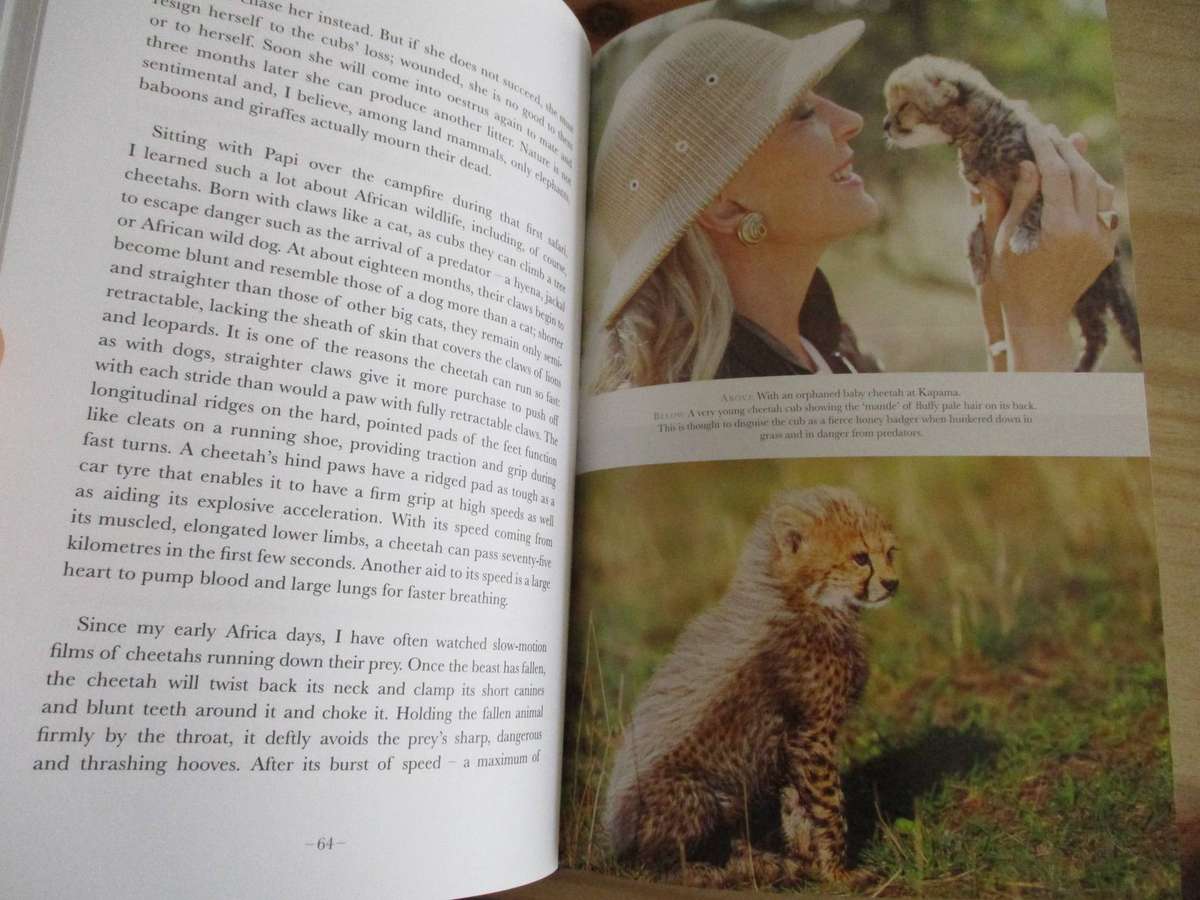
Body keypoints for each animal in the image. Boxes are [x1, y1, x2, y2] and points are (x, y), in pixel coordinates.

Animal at [603, 486, 898, 888]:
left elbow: (798, 805)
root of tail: (617, 842)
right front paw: (838, 872)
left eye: (890, 552)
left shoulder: (794, 741)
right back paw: (707, 872)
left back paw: (758, 862)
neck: (807, 600)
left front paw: (809, 860)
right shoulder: (813, 733)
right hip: (694, 792)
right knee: (655, 863)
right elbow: (829, 806)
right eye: (860, 558)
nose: (892, 583)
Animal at [882, 55, 1140, 372]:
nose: (884, 125)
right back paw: (1080, 367)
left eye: (904, 106)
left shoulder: (1038, 174)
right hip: (1086, 297)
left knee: (1113, 325)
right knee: (1097, 333)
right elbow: (973, 227)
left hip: (1102, 287)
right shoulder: (982, 195)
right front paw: (976, 259)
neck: (977, 132)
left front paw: (1023, 238)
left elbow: (1033, 208)